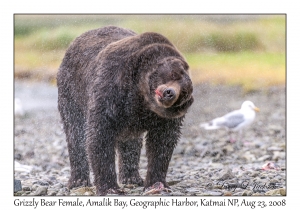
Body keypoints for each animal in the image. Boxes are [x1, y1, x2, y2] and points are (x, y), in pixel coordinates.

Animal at [57, 25, 195, 195]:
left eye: (183, 93)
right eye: (173, 75)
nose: (170, 93)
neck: (141, 98)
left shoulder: (162, 118)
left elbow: (162, 142)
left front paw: (156, 183)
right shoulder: (112, 90)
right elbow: (100, 135)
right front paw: (109, 187)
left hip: (129, 123)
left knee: (131, 143)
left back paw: (132, 178)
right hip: (72, 91)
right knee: (75, 133)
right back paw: (78, 180)